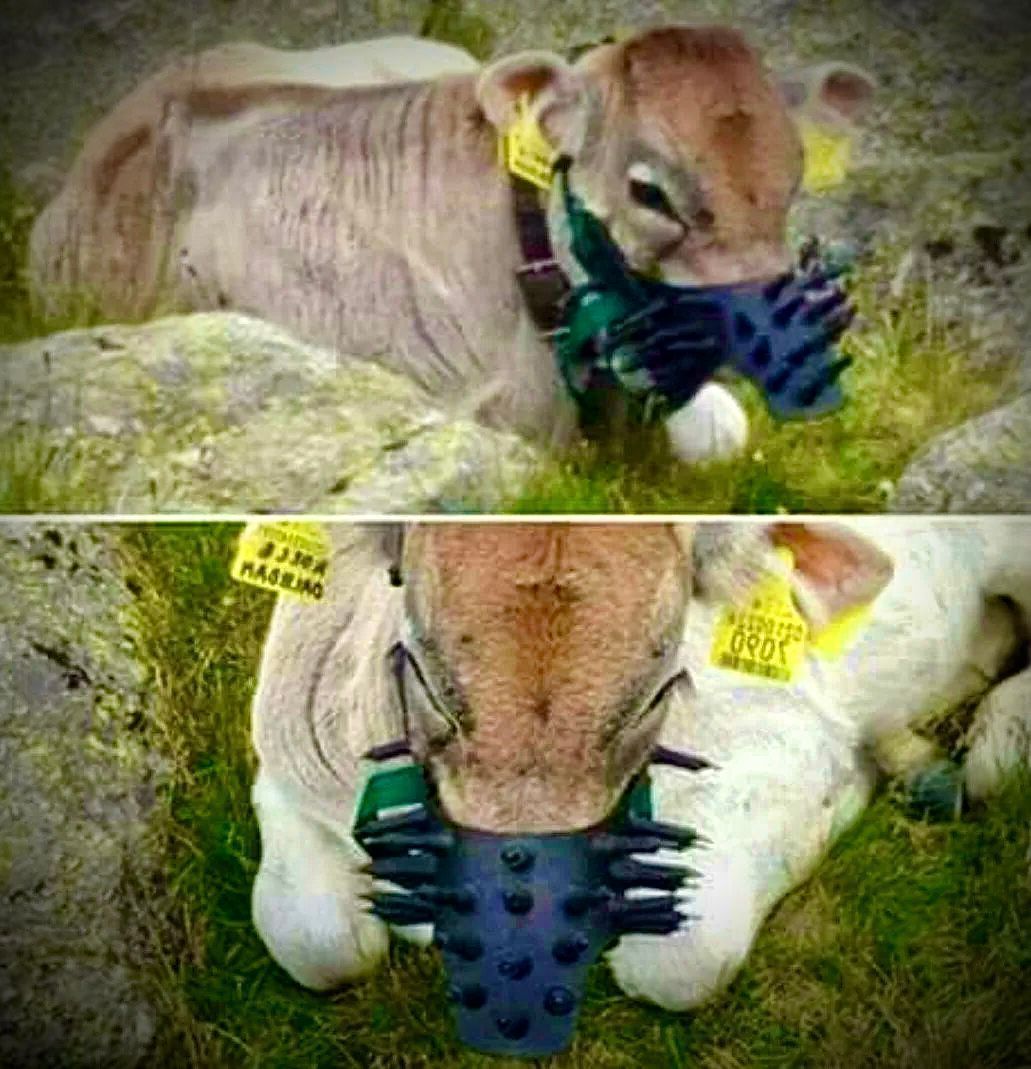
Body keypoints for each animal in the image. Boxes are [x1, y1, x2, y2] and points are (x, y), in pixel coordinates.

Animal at [248, 519, 1031, 1014]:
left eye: (657, 673)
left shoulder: (783, 747)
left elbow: (682, 960)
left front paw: (848, 796)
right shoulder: (282, 779)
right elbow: (315, 941)